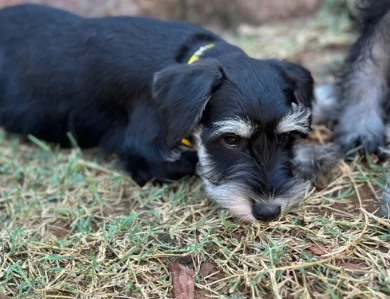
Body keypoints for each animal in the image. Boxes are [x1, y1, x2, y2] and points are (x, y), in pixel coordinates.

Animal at [0, 2, 342, 223]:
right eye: (230, 140)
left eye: (285, 138)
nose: (268, 212)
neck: (187, 56)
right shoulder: (145, 157)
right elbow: (194, 164)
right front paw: (314, 157)